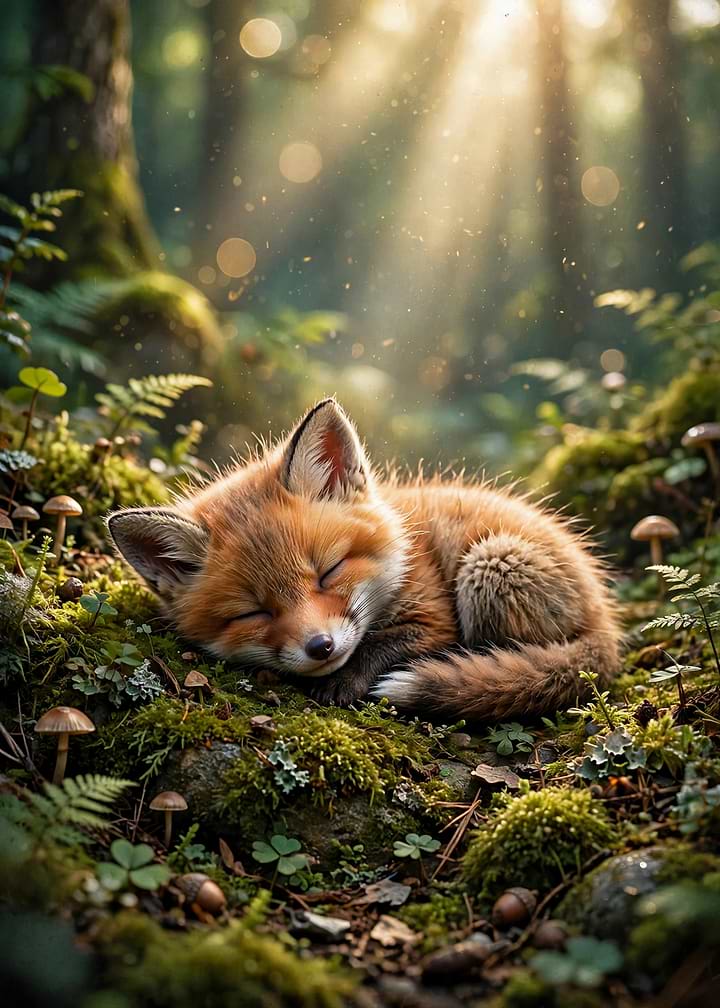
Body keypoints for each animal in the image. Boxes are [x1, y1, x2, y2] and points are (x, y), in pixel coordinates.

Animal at [107, 399, 621, 720]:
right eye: (252, 613)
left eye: (329, 571)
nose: (321, 647)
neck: (403, 552)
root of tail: (605, 619)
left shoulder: (435, 617)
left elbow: (384, 643)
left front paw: (349, 679)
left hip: (490, 563)